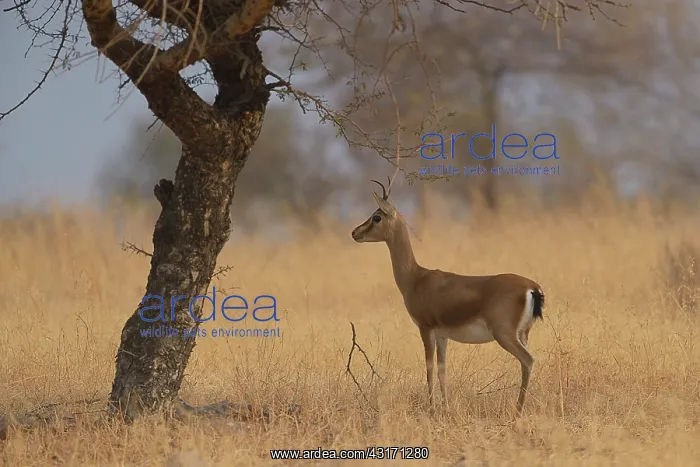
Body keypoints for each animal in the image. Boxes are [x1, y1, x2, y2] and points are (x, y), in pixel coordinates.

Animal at [350, 177, 545, 414]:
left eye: (376, 217)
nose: (355, 233)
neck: (416, 278)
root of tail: (532, 287)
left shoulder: (425, 328)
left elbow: (429, 368)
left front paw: (432, 408)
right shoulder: (443, 335)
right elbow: (442, 369)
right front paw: (445, 407)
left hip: (505, 335)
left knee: (528, 360)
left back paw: (517, 411)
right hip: (524, 334)